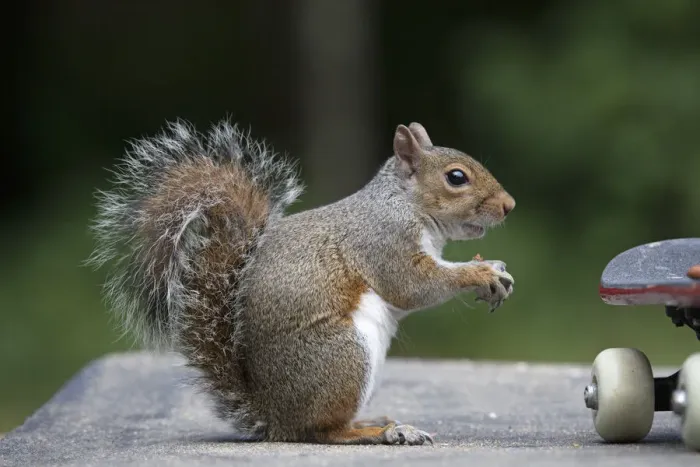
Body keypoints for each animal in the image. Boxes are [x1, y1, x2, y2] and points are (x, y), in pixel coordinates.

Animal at [88, 119, 516, 446]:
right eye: (456, 177)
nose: (509, 206)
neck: (403, 203)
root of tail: (275, 418)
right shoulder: (383, 242)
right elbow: (413, 285)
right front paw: (480, 273)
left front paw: (492, 267)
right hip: (343, 356)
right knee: (323, 432)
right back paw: (381, 432)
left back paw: (373, 422)